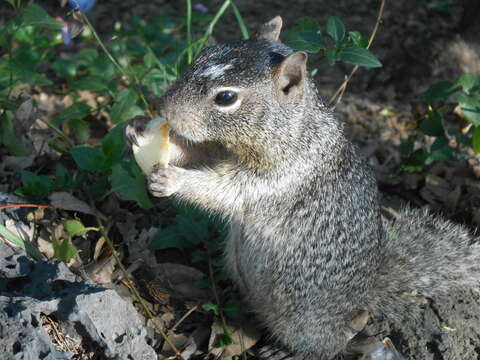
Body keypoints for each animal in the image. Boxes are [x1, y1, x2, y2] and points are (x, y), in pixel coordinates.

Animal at [125, 16, 480, 360]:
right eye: (201, 55)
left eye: (226, 97)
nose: (162, 108)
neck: (291, 127)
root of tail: (357, 300)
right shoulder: (222, 150)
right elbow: (201, 154)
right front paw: (138, 129)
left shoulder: (283, 176)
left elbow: (227, 190)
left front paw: (173, 179)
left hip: (301, 317)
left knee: (332, 342)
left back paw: (288, 350)